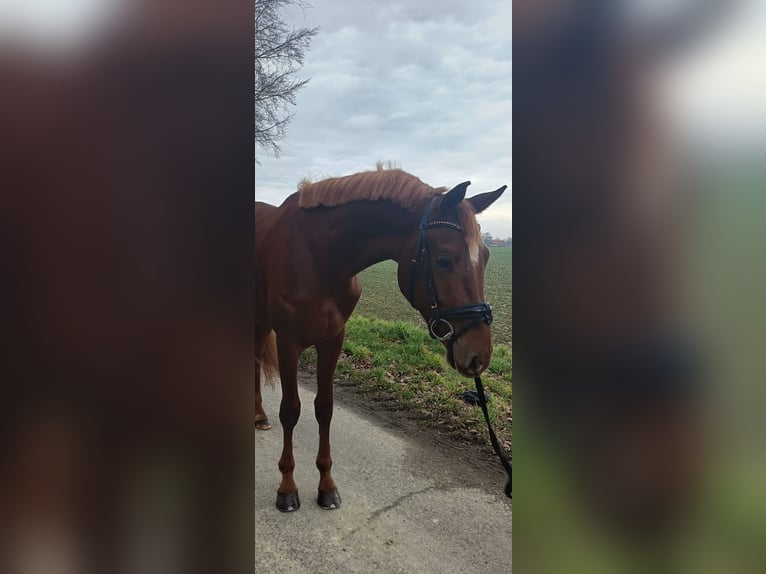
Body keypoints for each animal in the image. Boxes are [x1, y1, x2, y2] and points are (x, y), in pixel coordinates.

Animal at [255, 166, 506, 511]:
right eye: (444, 259)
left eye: (486, 257)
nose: (479, 355)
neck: (319, 257)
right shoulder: (288, 342)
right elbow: (291, 410)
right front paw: (287, 488)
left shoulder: (333, 340)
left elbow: (324, 408)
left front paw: (327, 485)